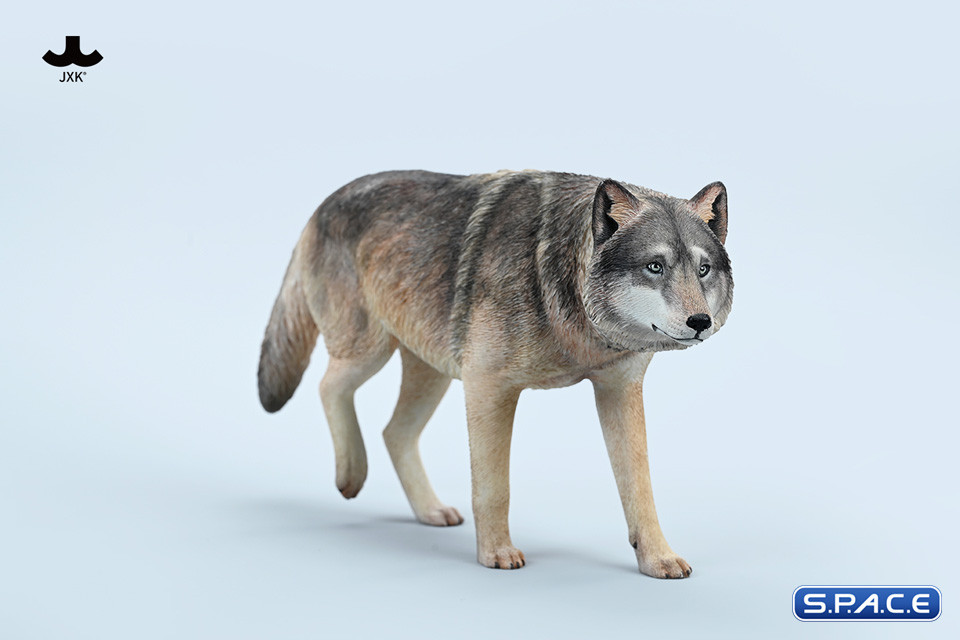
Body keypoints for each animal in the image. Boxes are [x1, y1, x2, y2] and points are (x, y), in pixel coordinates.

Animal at [258, 170, 733, 578]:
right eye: (655, 267)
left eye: (703, 269)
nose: (700, 321)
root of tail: (325, 201)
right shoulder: (489, 387)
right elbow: (494, 487)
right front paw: (497, 554)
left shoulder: (619, 390)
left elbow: (640, 488)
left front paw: (657, 558)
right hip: (370, 352)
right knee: (327, 387)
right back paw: (350, 475)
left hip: (432, 373)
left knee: (394, 432)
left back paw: (429, 510)